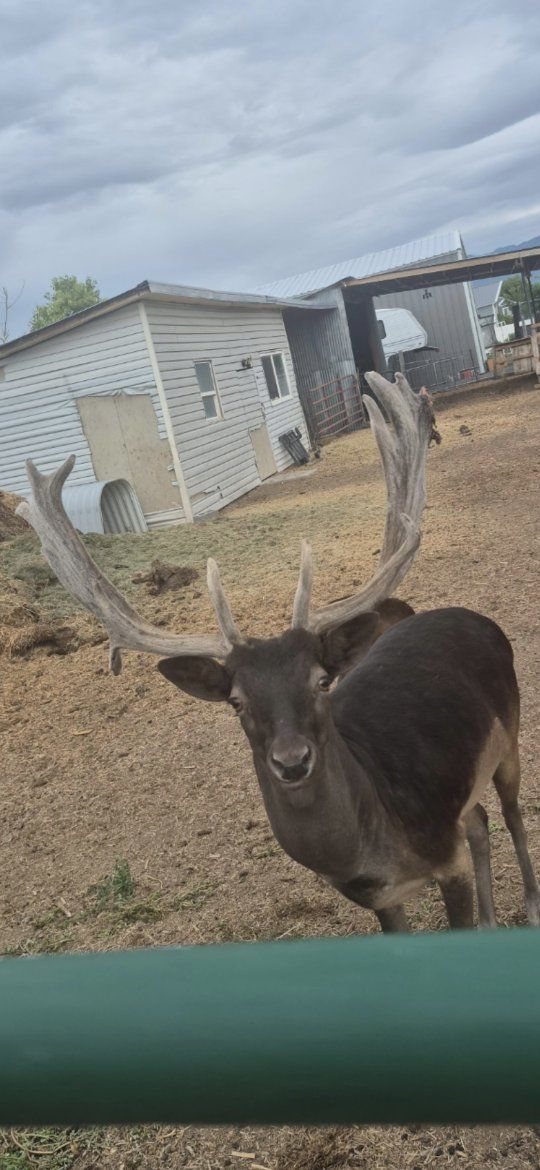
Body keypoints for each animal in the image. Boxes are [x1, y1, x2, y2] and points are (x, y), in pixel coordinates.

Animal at [18, 371, 540, 933]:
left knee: (511, 813)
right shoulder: (380, 896)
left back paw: (530, 904)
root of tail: (471, 616)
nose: (292, 761)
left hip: (509, 734)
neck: (375, 844)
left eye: (322, 681)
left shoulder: (447, 855)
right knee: (480, 819)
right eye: (236, 701)